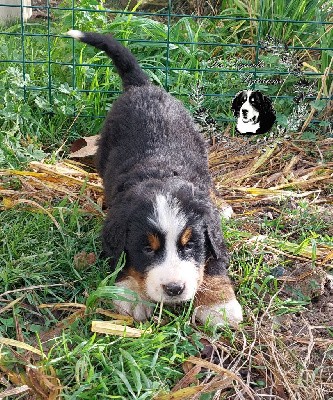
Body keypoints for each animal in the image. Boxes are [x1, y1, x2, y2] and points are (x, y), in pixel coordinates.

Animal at [68, 30, 244, 324]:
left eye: (190, 245)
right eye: (147, 249)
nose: (174, 289)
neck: (160, 171)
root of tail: (142, 87)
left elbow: (214, 261)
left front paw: (219, 305)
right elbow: (123, 262)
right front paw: (131, 295)